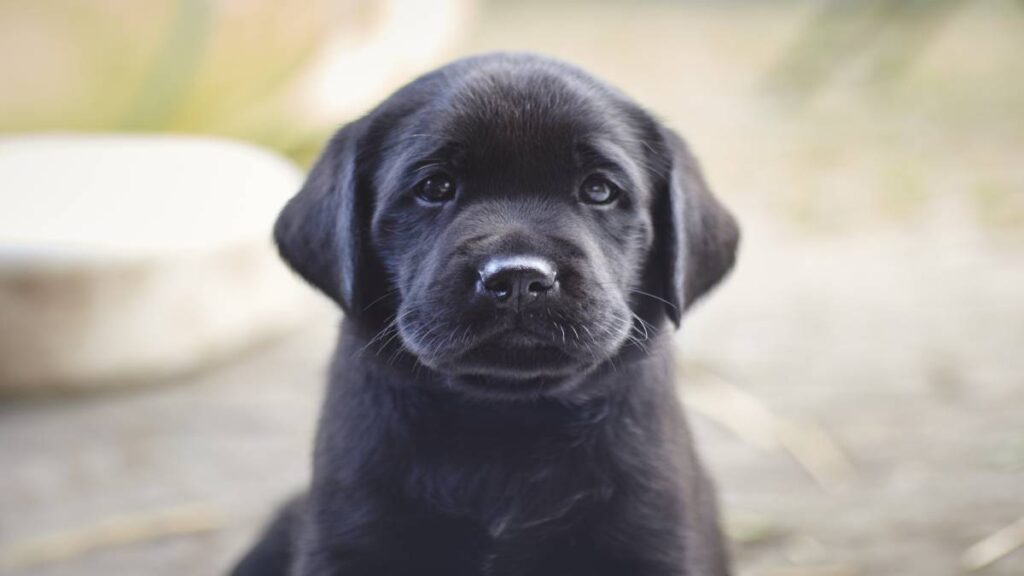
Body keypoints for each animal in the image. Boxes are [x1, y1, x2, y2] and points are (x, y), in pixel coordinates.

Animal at [232, 52, 741, 573]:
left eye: (599, 190)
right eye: (435, 186)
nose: (517, 278)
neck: (503, 424)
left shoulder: (653, 538)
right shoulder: (349, 536)